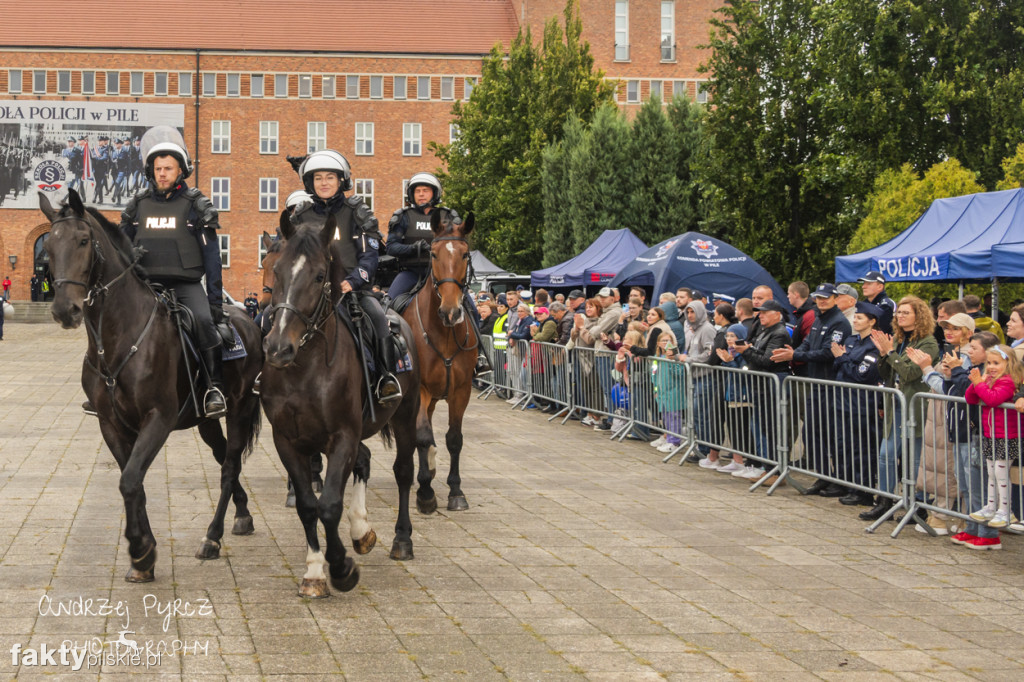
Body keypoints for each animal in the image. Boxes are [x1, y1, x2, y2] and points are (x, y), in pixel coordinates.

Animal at [38, 189, 264, 577]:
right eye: (49, 246)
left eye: (83, 241)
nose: (65, 310)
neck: (117, 339)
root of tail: (247, 319)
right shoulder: (111, 424)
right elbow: (134, 481)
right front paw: (144, 553)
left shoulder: (158, 418)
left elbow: (130, 479)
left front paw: (140, 548)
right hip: (204, 421)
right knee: (223, 457)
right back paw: (243, 514)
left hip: (239, 408)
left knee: (230, 466)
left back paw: (212, 537)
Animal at [264, 210, 423, 593]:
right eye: (276, 271)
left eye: (320, 275)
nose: (277, 348)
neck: (305, 370)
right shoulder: (287, 441)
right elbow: (308, 505)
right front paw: (314, 571)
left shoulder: (342, 437)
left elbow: (329, 505)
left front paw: (341, 568)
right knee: (364, 461)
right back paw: (361, 531)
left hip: (406, 415)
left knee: (403, 471)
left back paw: (402, 539)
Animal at [401, 209, 477, 512]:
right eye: (432, 253)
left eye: (465, 254)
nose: (450, 312)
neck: (443, 334)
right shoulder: (419, 389)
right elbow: (422, 437)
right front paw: (425, 493)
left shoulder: (461, 391)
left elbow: (454, 439)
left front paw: (456, 492)